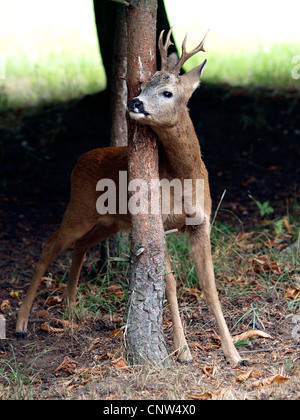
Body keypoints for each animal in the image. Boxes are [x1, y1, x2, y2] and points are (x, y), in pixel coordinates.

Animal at [15, 28, 241, 364]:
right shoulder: (160, 221)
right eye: (143, 85)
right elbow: (169, 283)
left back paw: (70, 305)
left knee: (81, 244)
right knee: (51, 244)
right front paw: (183, 350)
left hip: (111, 220)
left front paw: (234, 353)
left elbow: (210, 285)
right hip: (79, 208)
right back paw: (21, 324)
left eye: (167, 93)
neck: (185, 178)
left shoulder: (202, 223)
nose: (133, 101)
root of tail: (79, 159)